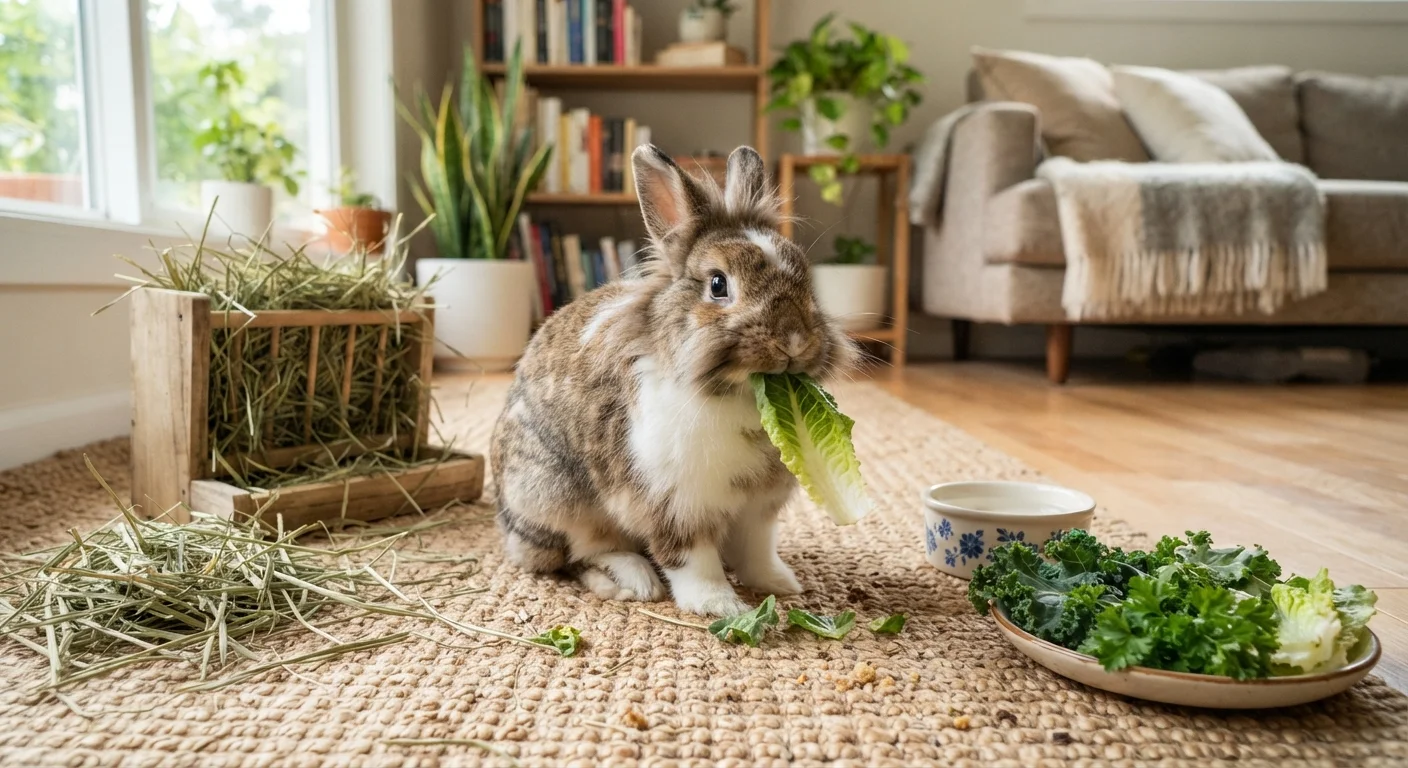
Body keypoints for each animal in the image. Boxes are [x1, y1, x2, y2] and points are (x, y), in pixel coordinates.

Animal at [490, 144, 859, 616]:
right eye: (718, 284)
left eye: (806, 278)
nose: (794, 341)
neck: (742, 395)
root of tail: (508, 523)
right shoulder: (677, 505)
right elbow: (692, 561)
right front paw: (721, 606)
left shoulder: (758, 511)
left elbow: (757, 550)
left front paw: (780, 584)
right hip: (555, 500)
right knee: (574, 555)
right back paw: (634, 581)